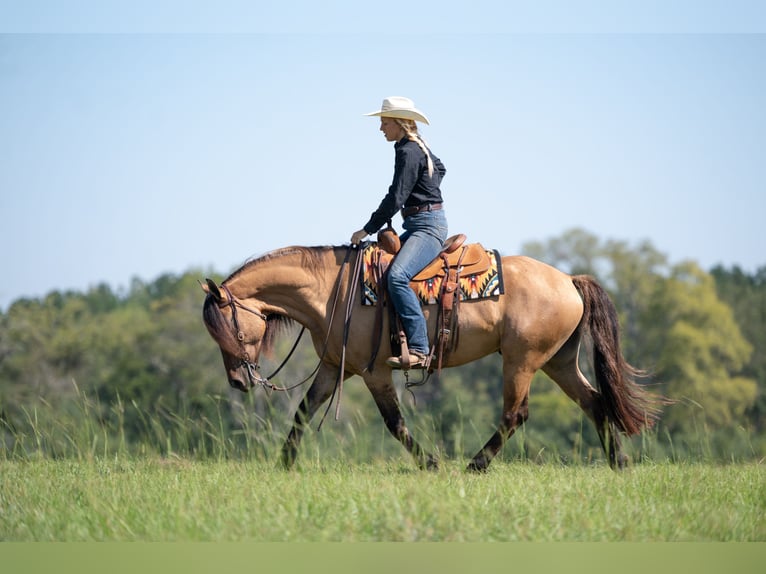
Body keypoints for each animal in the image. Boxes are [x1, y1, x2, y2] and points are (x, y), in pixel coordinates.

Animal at [201, 243, 664, 472]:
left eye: (228, 328)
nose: (239, 382)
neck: (332, 290)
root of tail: (568, 279)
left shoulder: (373, 371)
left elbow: (395, 422)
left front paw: (430, 462)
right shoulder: (335, 367)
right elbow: (302, 411)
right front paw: (284, 462)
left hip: (521, 361)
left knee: (515, 414)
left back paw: (475, 465)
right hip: (559, 361)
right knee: (594, 402)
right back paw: (619, 462)